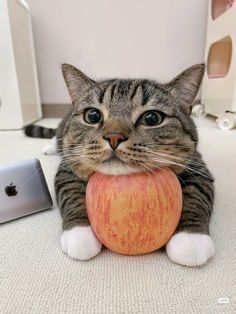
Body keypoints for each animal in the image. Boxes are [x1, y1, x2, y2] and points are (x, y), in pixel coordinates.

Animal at [24, 64, 216, 268]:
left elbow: (197, 196)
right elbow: (71, 193)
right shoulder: (68, 167)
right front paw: (79, 235)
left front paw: (191, 239)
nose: (114, 136)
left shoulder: (197, 166)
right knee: (57, 135)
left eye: (152, 118)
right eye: (92, 115)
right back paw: (50, 147)